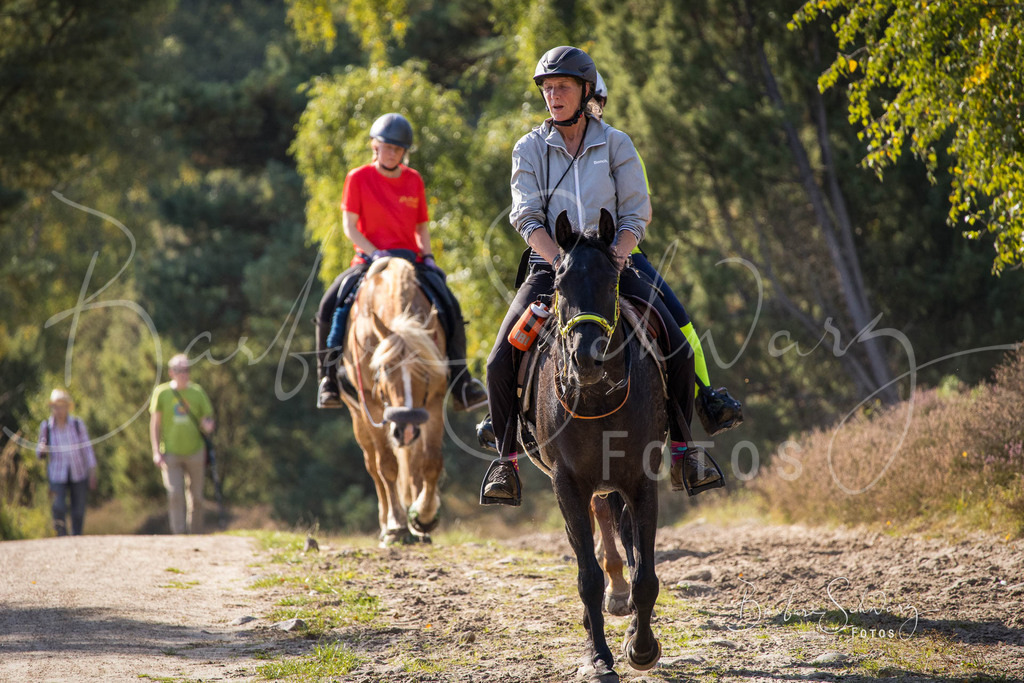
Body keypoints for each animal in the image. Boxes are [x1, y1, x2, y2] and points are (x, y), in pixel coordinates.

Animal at [341, 256, 449, 546]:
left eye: (424, 371)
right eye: (385, 368)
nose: (407, 426)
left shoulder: (433, 401)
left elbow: (431, 461)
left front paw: (423, 516)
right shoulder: (372, 405)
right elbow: (386, 465)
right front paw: (397, 525)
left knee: (413, 464)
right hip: (359, 417)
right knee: (373, 465)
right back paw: (387, 522)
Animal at [519, 209, 667, 680]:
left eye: (610, 280)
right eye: (560, 283)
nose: (587, 357)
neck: (597, 397)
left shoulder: (641, 481)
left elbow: (646, 575)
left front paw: (642, 647)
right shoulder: (567, 486)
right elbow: (587, 577)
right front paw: (599, 656)